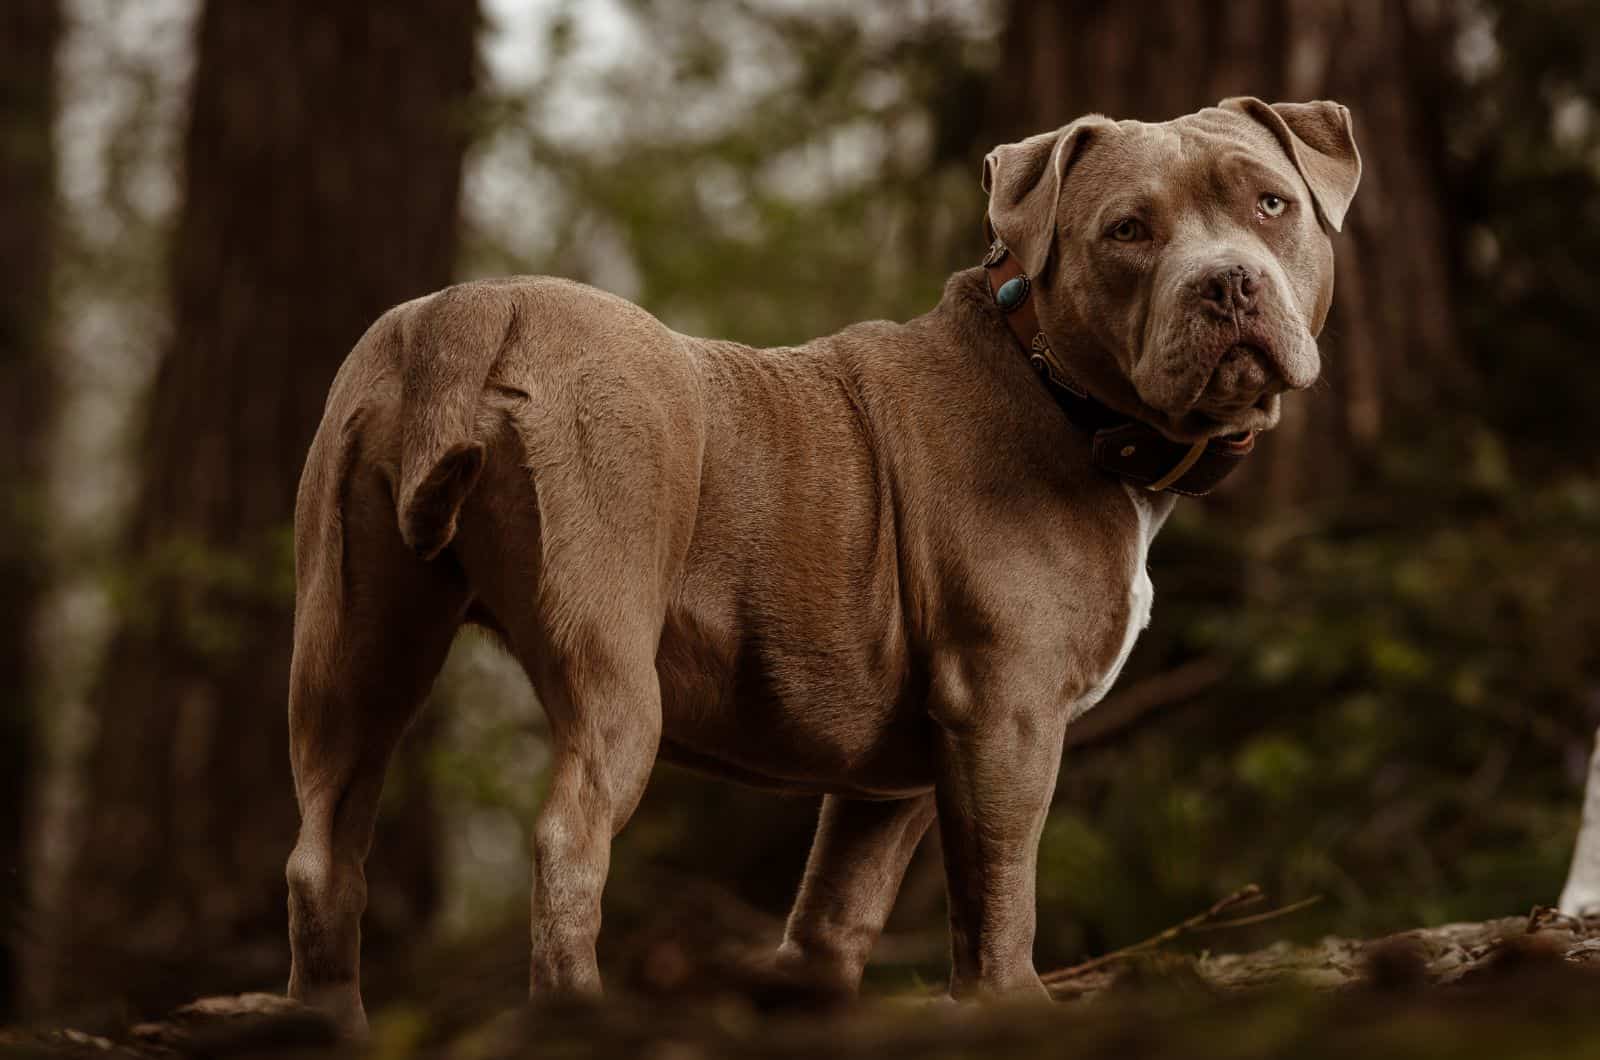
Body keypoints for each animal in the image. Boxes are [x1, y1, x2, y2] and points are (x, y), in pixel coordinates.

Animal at [284, 95, 1350, 1031]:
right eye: (1127, 230)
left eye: (1271, 204)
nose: (1228, 282)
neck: (1053, 383)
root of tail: (473, 311)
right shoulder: (1005, 714)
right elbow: (1003, 890)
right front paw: (1015, 1006)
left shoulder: (893, 780)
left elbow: (837, 913)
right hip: (611, 668)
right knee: (567, 842)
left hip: (353, 650)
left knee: (323, 855)